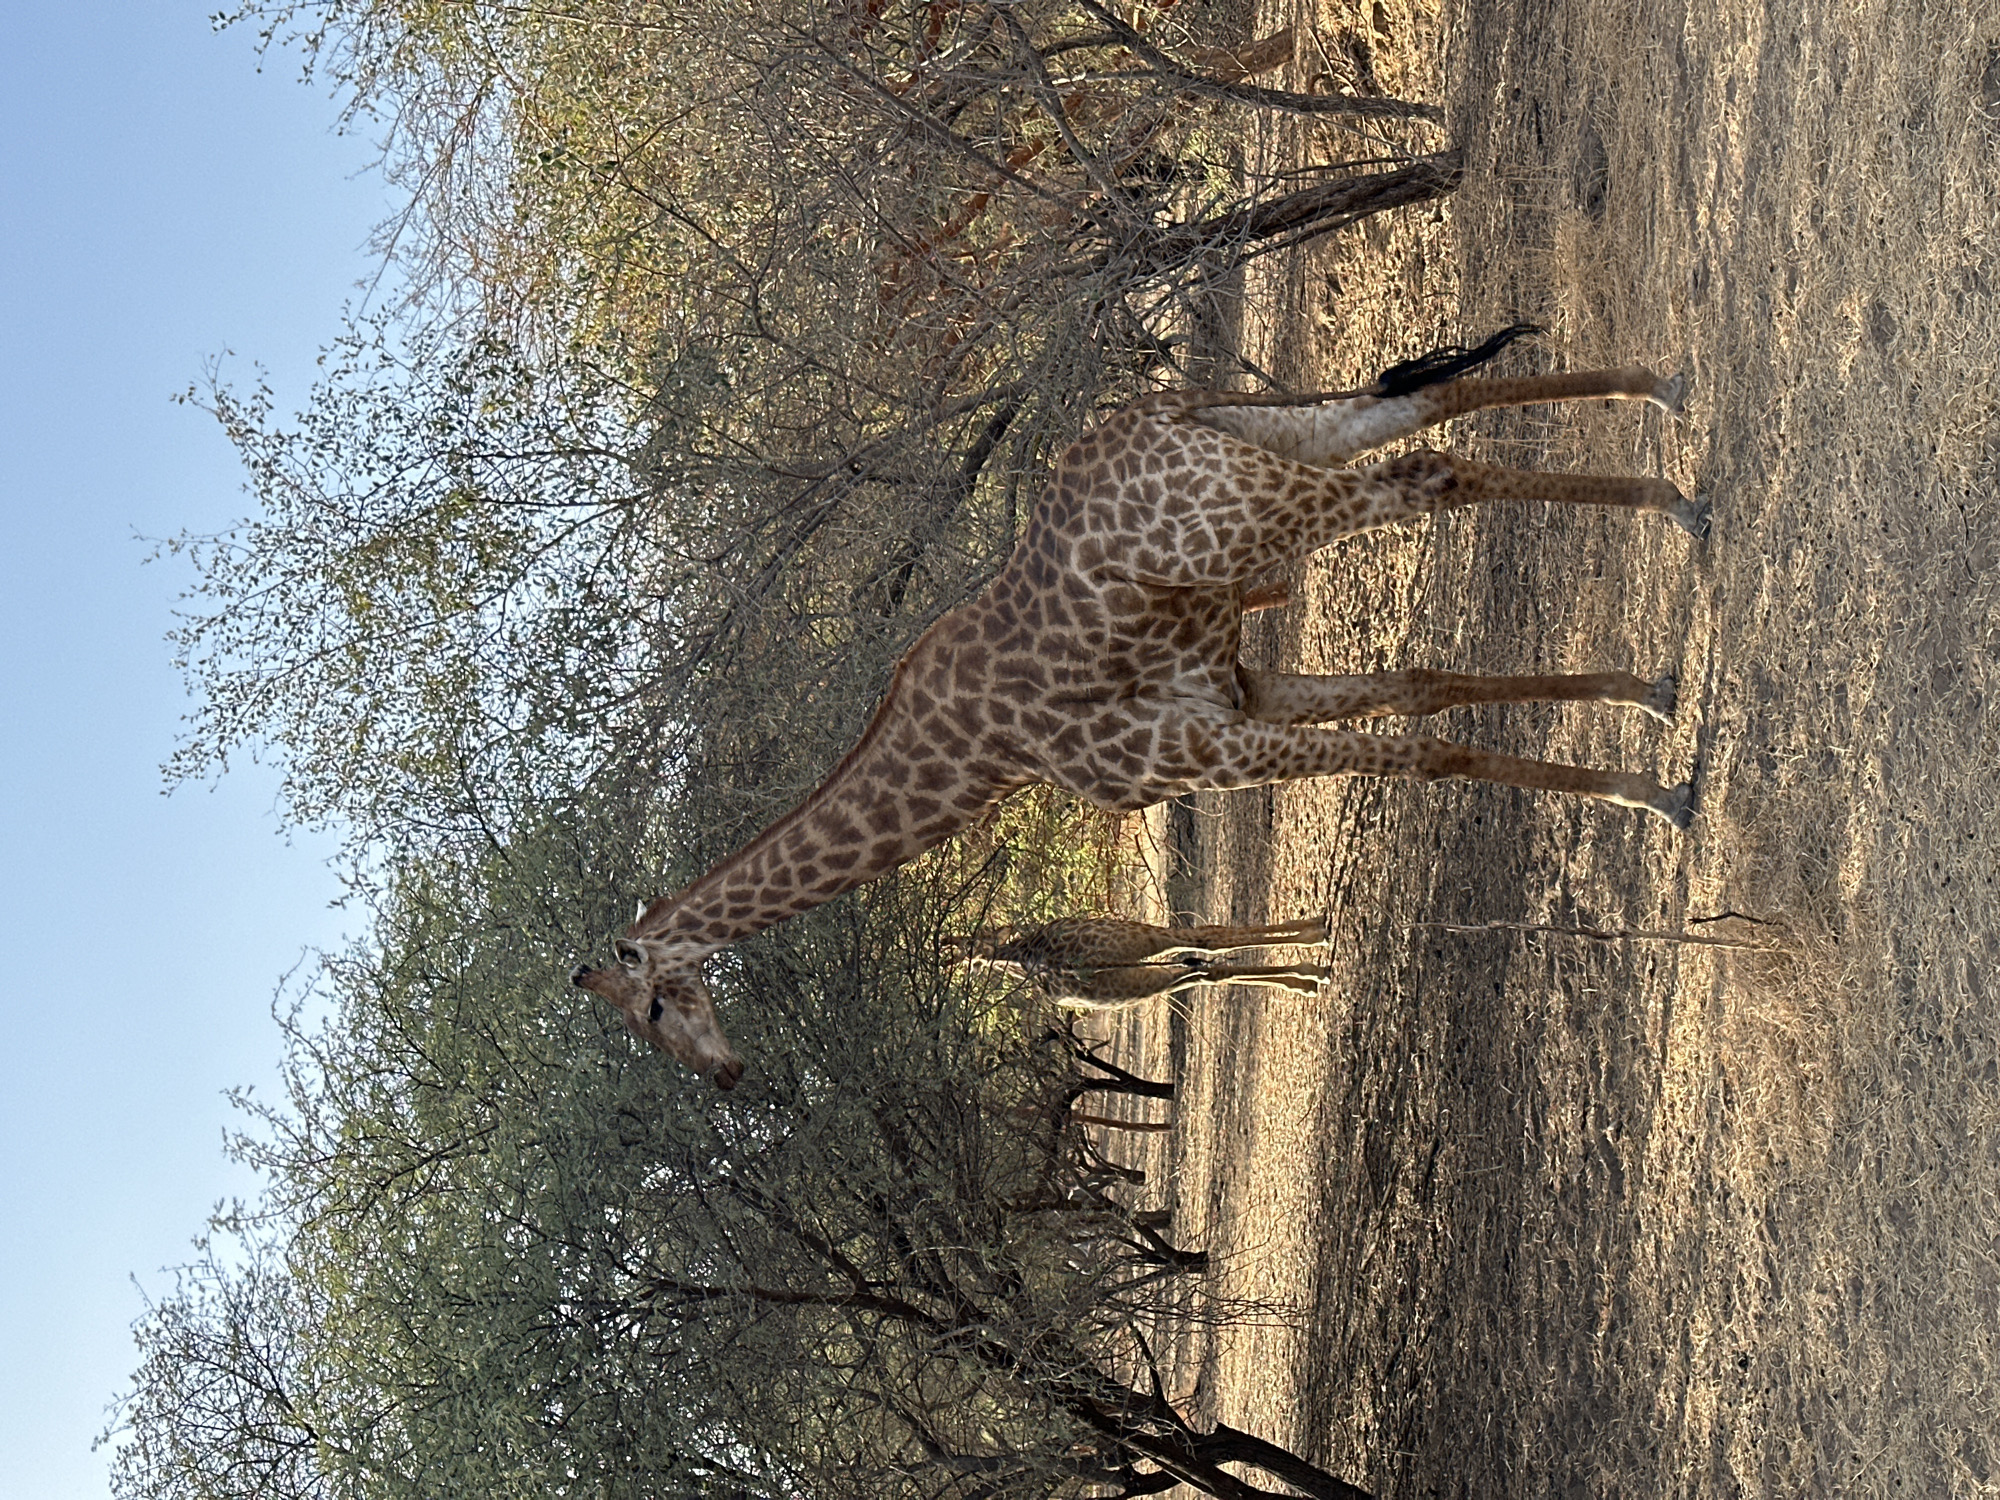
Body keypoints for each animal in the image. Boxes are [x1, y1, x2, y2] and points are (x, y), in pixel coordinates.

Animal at [574, 343, 1702, 1086]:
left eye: (656, 1005)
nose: (723, 1075)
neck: (981, 749)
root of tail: (1160, 415)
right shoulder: (1235, 693)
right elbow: (1426, 687)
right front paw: (1643, 713)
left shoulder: (1197, 748)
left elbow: (1426, 753)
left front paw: (1649, 792)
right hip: (1278, 442)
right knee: (1438, 409)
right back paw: (1668, 421)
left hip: (1261, 508)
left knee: (1432, 473)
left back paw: (1678, 509)